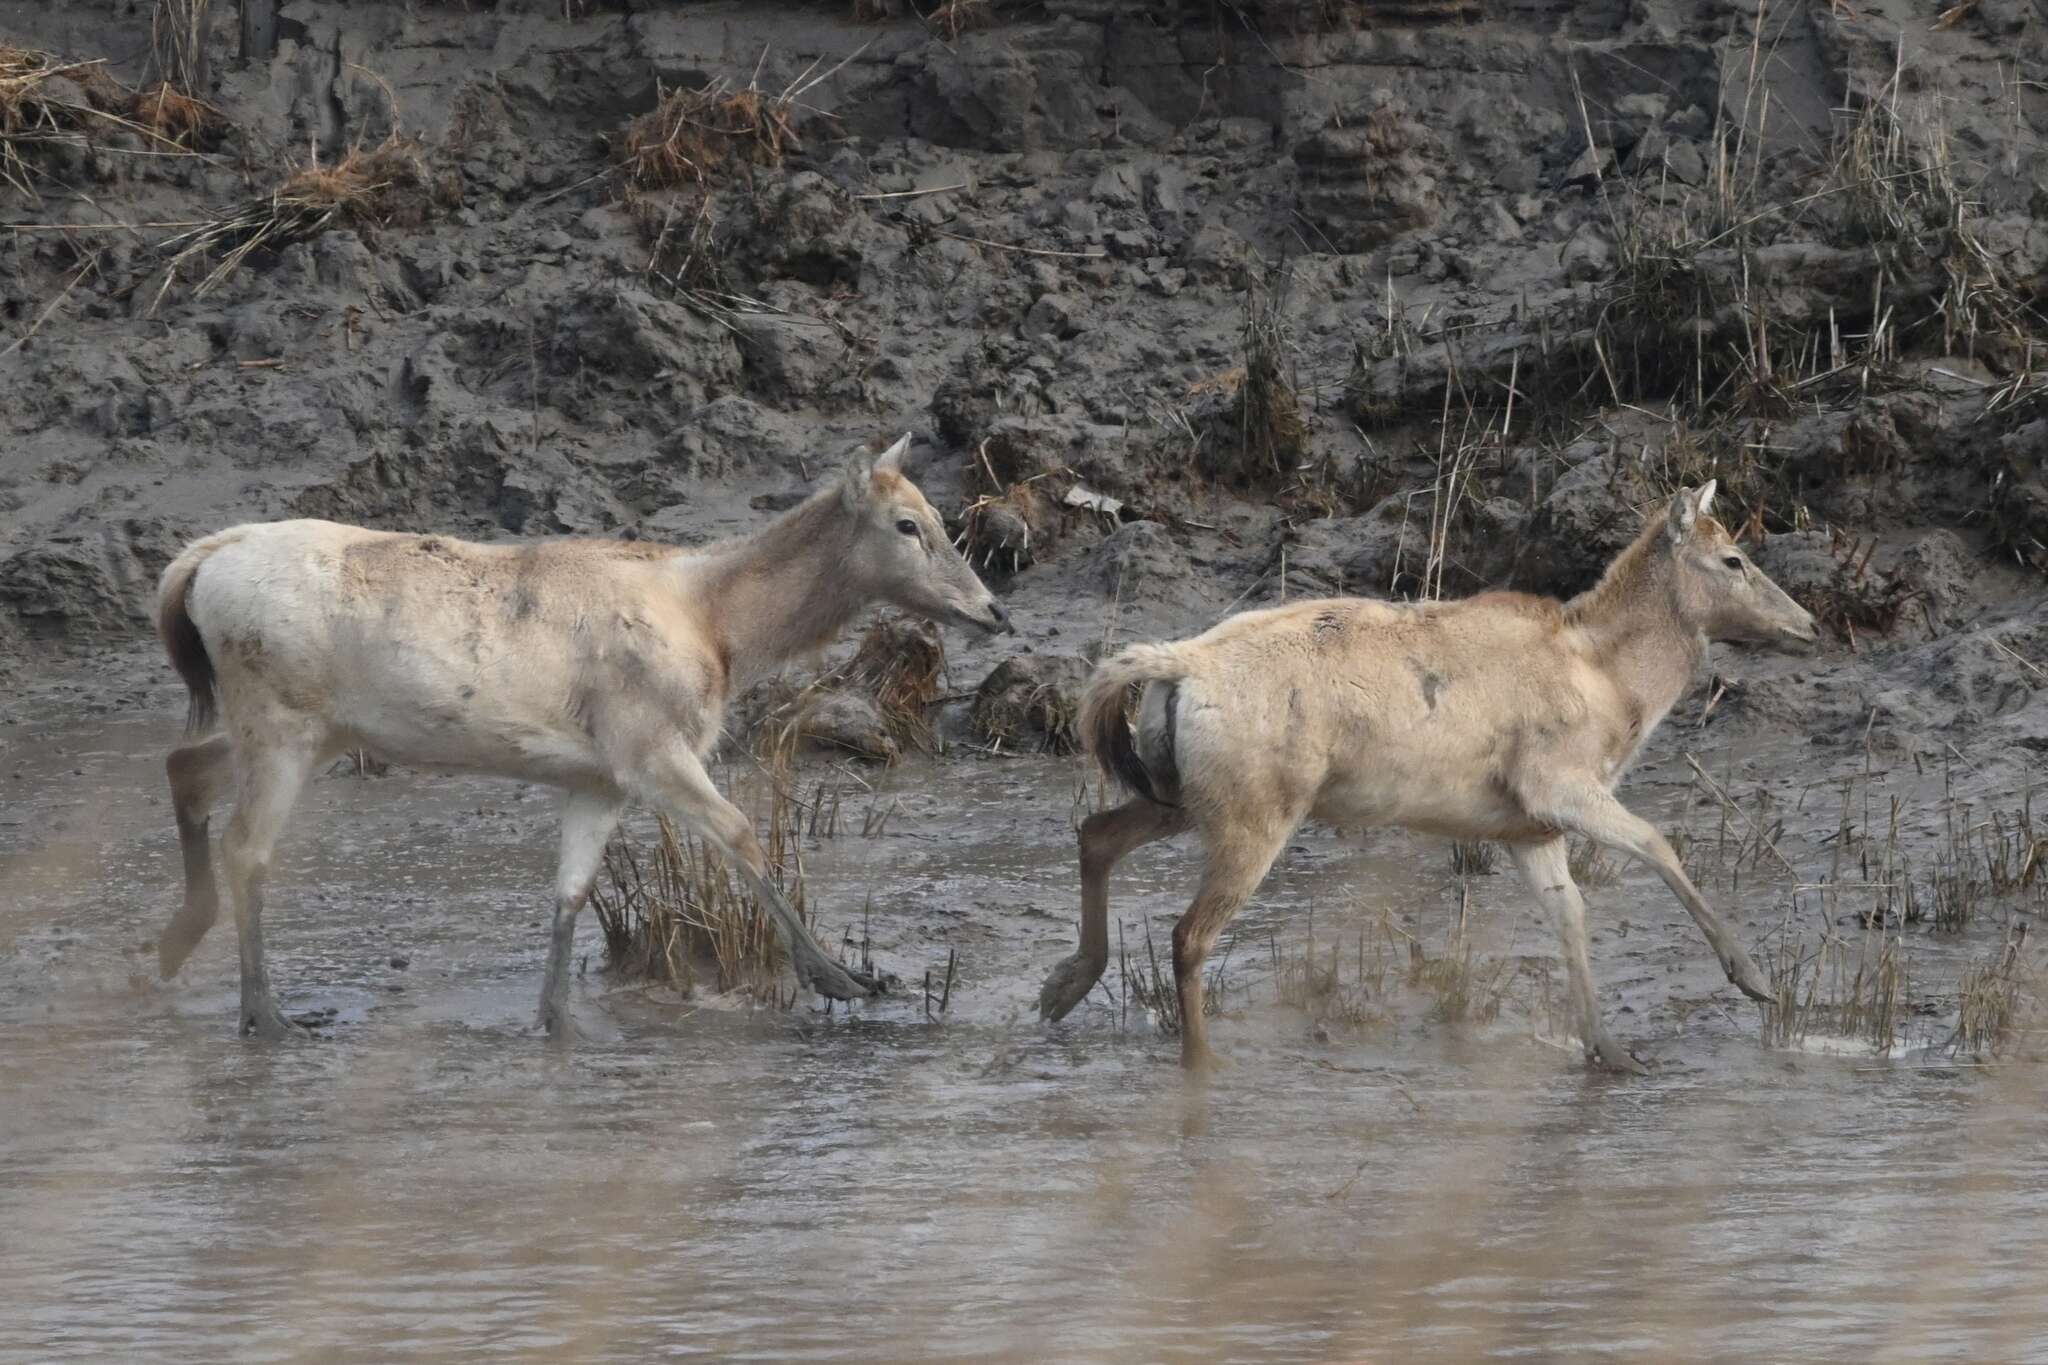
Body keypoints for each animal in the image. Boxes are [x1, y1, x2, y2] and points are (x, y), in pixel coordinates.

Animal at [155, 435, 1011, 1035]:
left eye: (943, 519)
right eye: (909, 524)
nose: (993, 609)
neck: (718, 629)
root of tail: (198, 561)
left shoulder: (597, 777)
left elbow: (569, 890)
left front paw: (556, 1020)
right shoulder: (650, 744)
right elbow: (742, 832)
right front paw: (844, 977)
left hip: (303, 724)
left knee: (184, 763)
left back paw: (172, 946)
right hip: (278, 716)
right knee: (246, 846)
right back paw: (265, 1014)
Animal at [1048, 485, 1818, 1072]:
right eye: (1734, 557)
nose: (1809, 625)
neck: (1612, 686)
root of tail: (1176, 665)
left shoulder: (1526, 826)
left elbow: (1569, 913)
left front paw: (1611, 1051)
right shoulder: (1555, 782)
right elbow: (1659, 842)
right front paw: (1755, 981)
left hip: (1178, 792)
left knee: (1096, 832)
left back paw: (1062, 986)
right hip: (1255, 812)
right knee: (1189, 934)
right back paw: (1198, 1063)